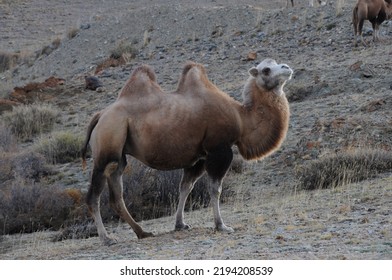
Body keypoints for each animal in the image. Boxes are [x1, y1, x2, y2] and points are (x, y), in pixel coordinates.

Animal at [81, 59, 292, 245]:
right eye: (266, 70)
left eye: (275, 63)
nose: (287, 68)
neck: (242, 118)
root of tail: (100, 115)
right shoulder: (219, 149)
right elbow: (215, 189)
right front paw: (221, 225)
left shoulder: (199, 157)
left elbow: (185, 187)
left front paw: (180, 224)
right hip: (107, 145)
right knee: (93, 196)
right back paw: (107, 239)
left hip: (119, 155)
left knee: (116, 195)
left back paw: (143, 233)